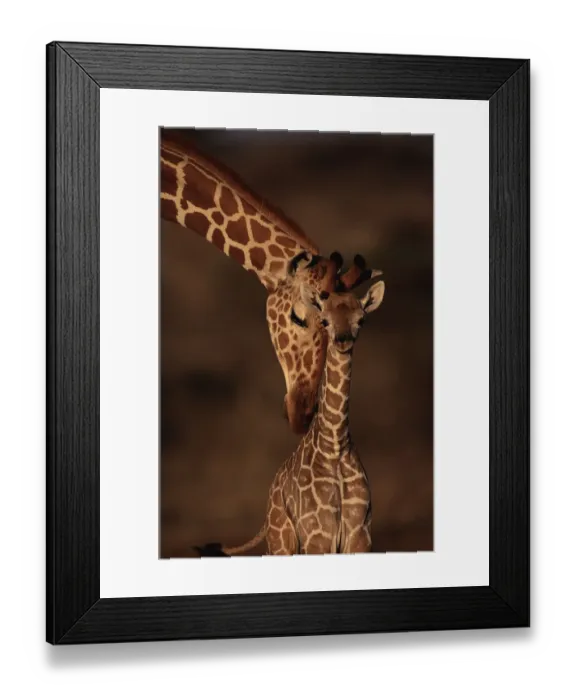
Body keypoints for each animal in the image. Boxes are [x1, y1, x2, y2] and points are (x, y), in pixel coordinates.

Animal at [195, 279, 386, 557]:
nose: (342, 340)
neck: (335, 444)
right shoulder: (318, 536)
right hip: (281, 540)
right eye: (325, 320)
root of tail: (267, 511)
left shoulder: (360, 534)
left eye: (361, 319)